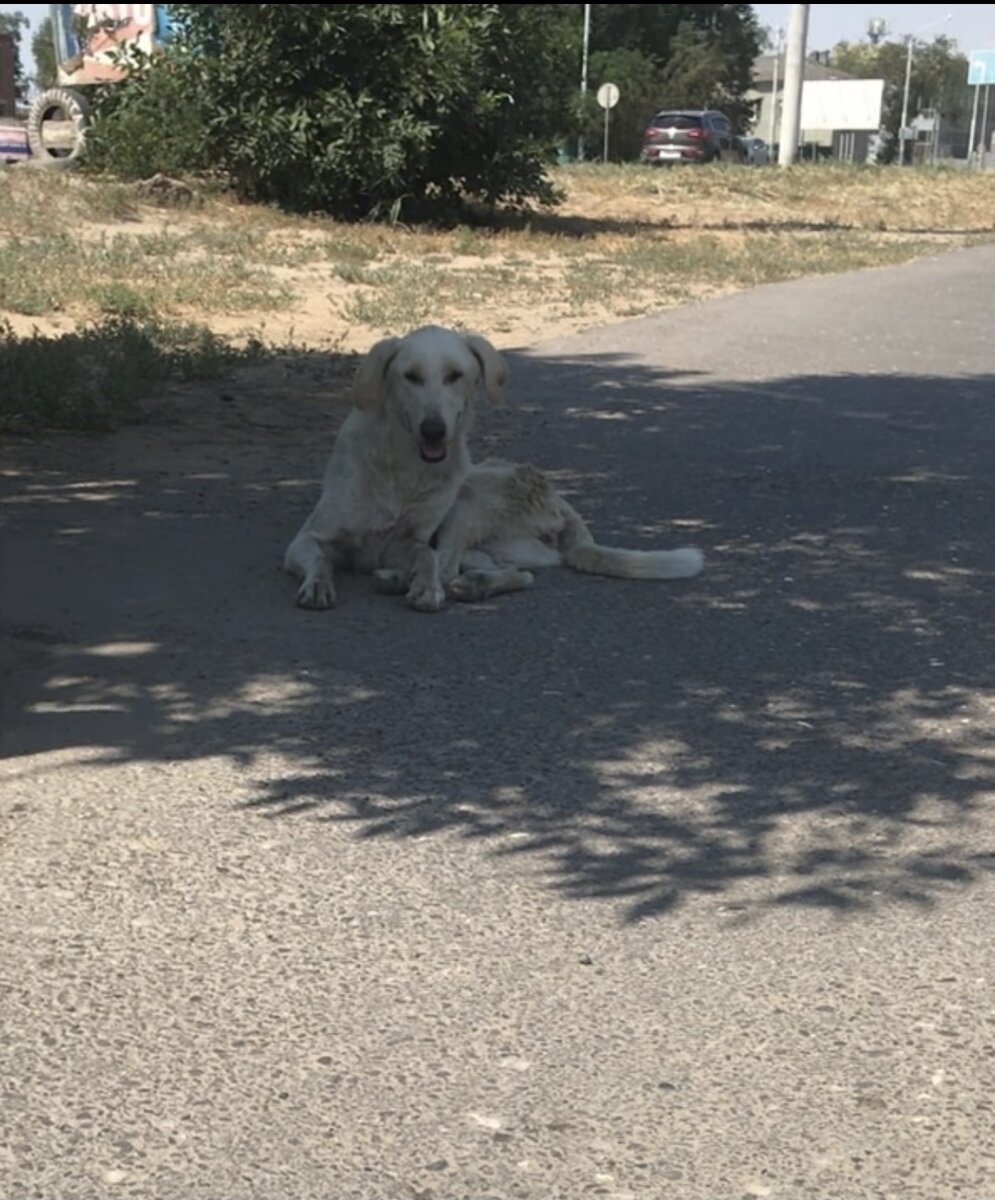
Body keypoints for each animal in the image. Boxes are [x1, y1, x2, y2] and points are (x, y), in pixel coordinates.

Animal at [279, 326, 700, 614]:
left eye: (455, 375)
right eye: (410, 376)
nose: (434, 430)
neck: (406, 467)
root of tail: (562, 503)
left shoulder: (410, 540)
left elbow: (427, 556)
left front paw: (423, 586)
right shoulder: (307, 539)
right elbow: (320, 561)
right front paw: (318, 586)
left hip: (472, 498)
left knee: (451, 565)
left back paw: (417, 581)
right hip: (495, 544)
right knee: (513, 572)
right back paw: (469, 583)